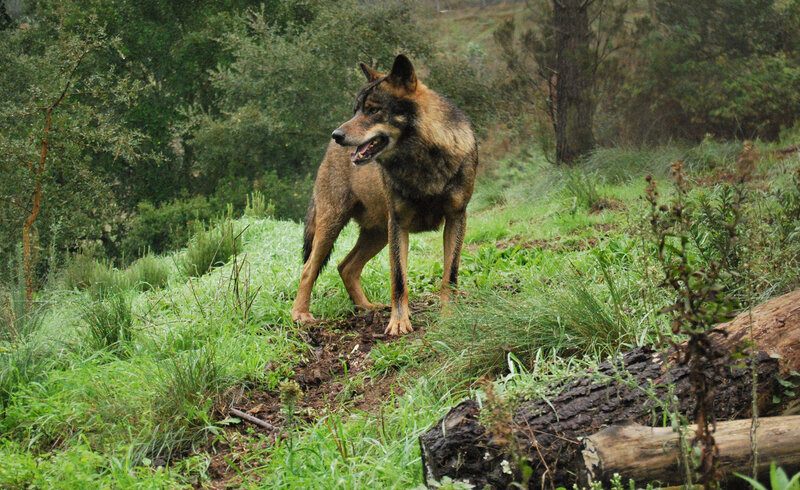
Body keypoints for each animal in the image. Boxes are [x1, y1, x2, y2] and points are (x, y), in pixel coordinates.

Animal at [291, 54, 478, 336]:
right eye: (355, 110)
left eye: (372, 110)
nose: (337, 135)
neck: (423, 161)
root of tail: (327, 152)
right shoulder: (399, 224)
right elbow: (399, 279)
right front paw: (399, 323)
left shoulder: (456, 218)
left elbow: (450, 276)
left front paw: (449, 319)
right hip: (334, 227)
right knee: (308, 268)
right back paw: (301, 314)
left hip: (377, 234)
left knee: (345, 266)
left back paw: (367, 308)